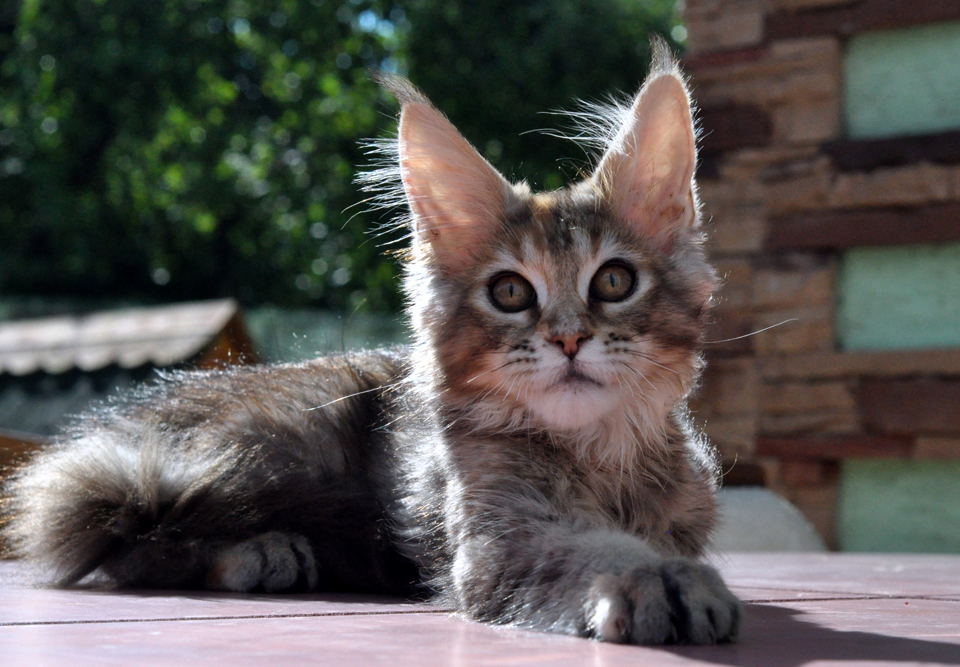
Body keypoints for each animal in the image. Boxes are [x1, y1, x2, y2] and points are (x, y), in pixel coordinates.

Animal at [3, 43, 744, 648]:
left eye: (614, 281)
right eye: (510, 292)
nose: (567, 338)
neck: (601, 454)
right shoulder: (502, 538)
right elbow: (593, 550)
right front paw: (654, 578)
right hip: (267, 446)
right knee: (122, 535)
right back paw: (262, 552)